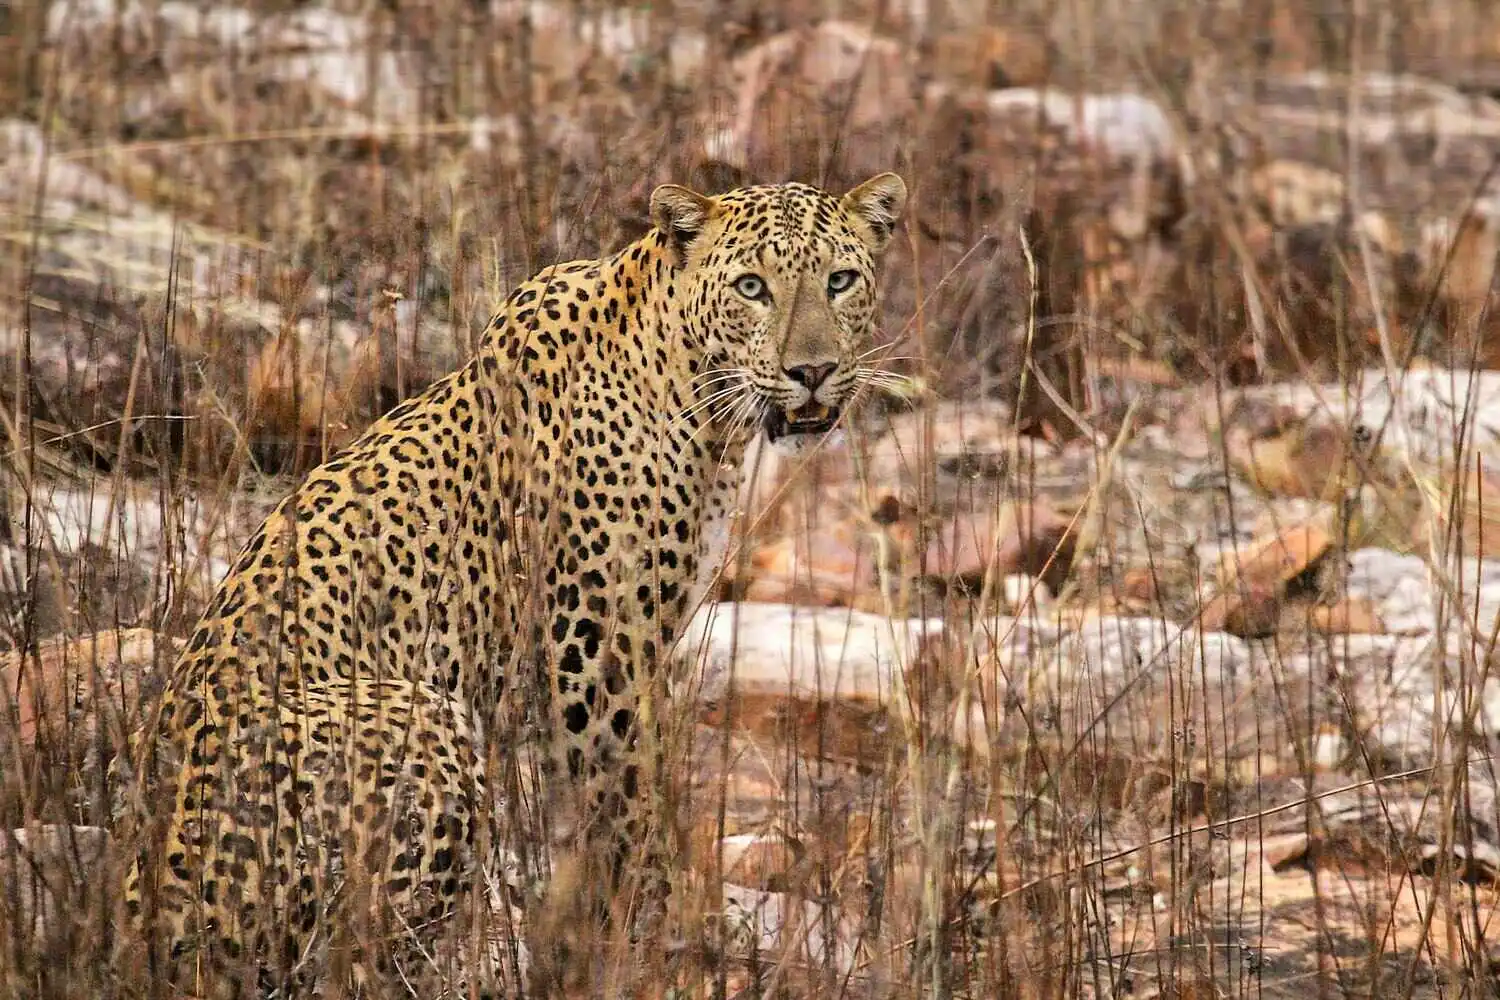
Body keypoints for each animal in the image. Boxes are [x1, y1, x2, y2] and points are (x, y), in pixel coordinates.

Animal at [114, 167, 900, 995]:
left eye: (840, 281)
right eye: (753, 287)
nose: (811, 372)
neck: (702, 405)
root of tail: (141, 912)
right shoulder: (594, 658)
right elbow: (627, 810)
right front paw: (656, 934)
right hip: (423, 719)